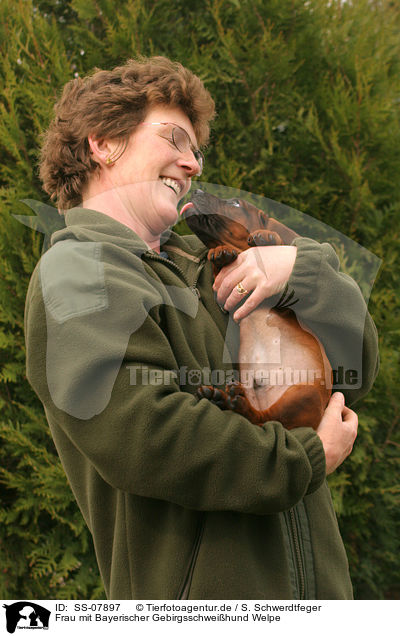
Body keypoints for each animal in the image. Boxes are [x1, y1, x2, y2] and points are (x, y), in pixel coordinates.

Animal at [181, 189, 332, 428]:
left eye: (235, 204)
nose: (196, 190)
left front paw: (267, 237)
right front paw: (219, 252)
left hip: (303, 394)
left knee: (265, 420)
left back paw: (231, 402)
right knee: (260, 420)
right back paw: (224, 399)